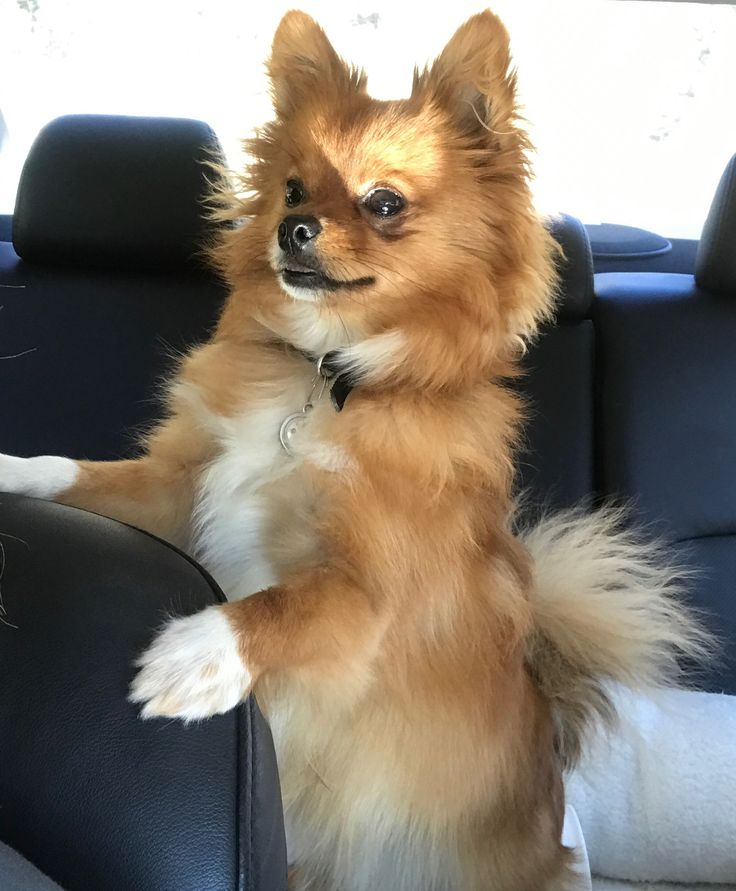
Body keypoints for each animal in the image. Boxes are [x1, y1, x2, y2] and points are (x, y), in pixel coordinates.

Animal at [0, 10, 704, 888]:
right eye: (294, 189)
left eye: (384, 202)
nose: (291, 228)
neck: (325, 376)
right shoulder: (180, 486)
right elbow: (75, 474)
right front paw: (9, 468)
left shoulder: (375, 592)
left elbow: (287, 602)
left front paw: (198, 652)